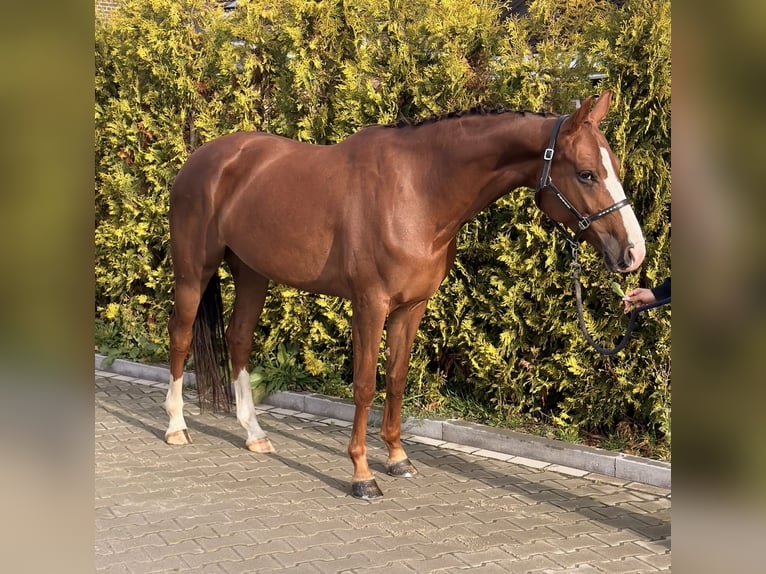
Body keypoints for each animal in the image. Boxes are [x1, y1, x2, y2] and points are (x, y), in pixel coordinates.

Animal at [165, 90, 645, 500]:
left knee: (239, 339)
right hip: (193, 273)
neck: (418, 190)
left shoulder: (411, 307)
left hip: (251, 273)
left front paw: (397, 458)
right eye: (586, 173)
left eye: (615, 168)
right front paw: (362, 474)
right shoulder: (370, 305)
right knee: (181, 338)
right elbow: (364, 385)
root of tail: (203, 158)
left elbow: (395, 379)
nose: (633, 252)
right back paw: (175, 427)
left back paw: (255, 435)